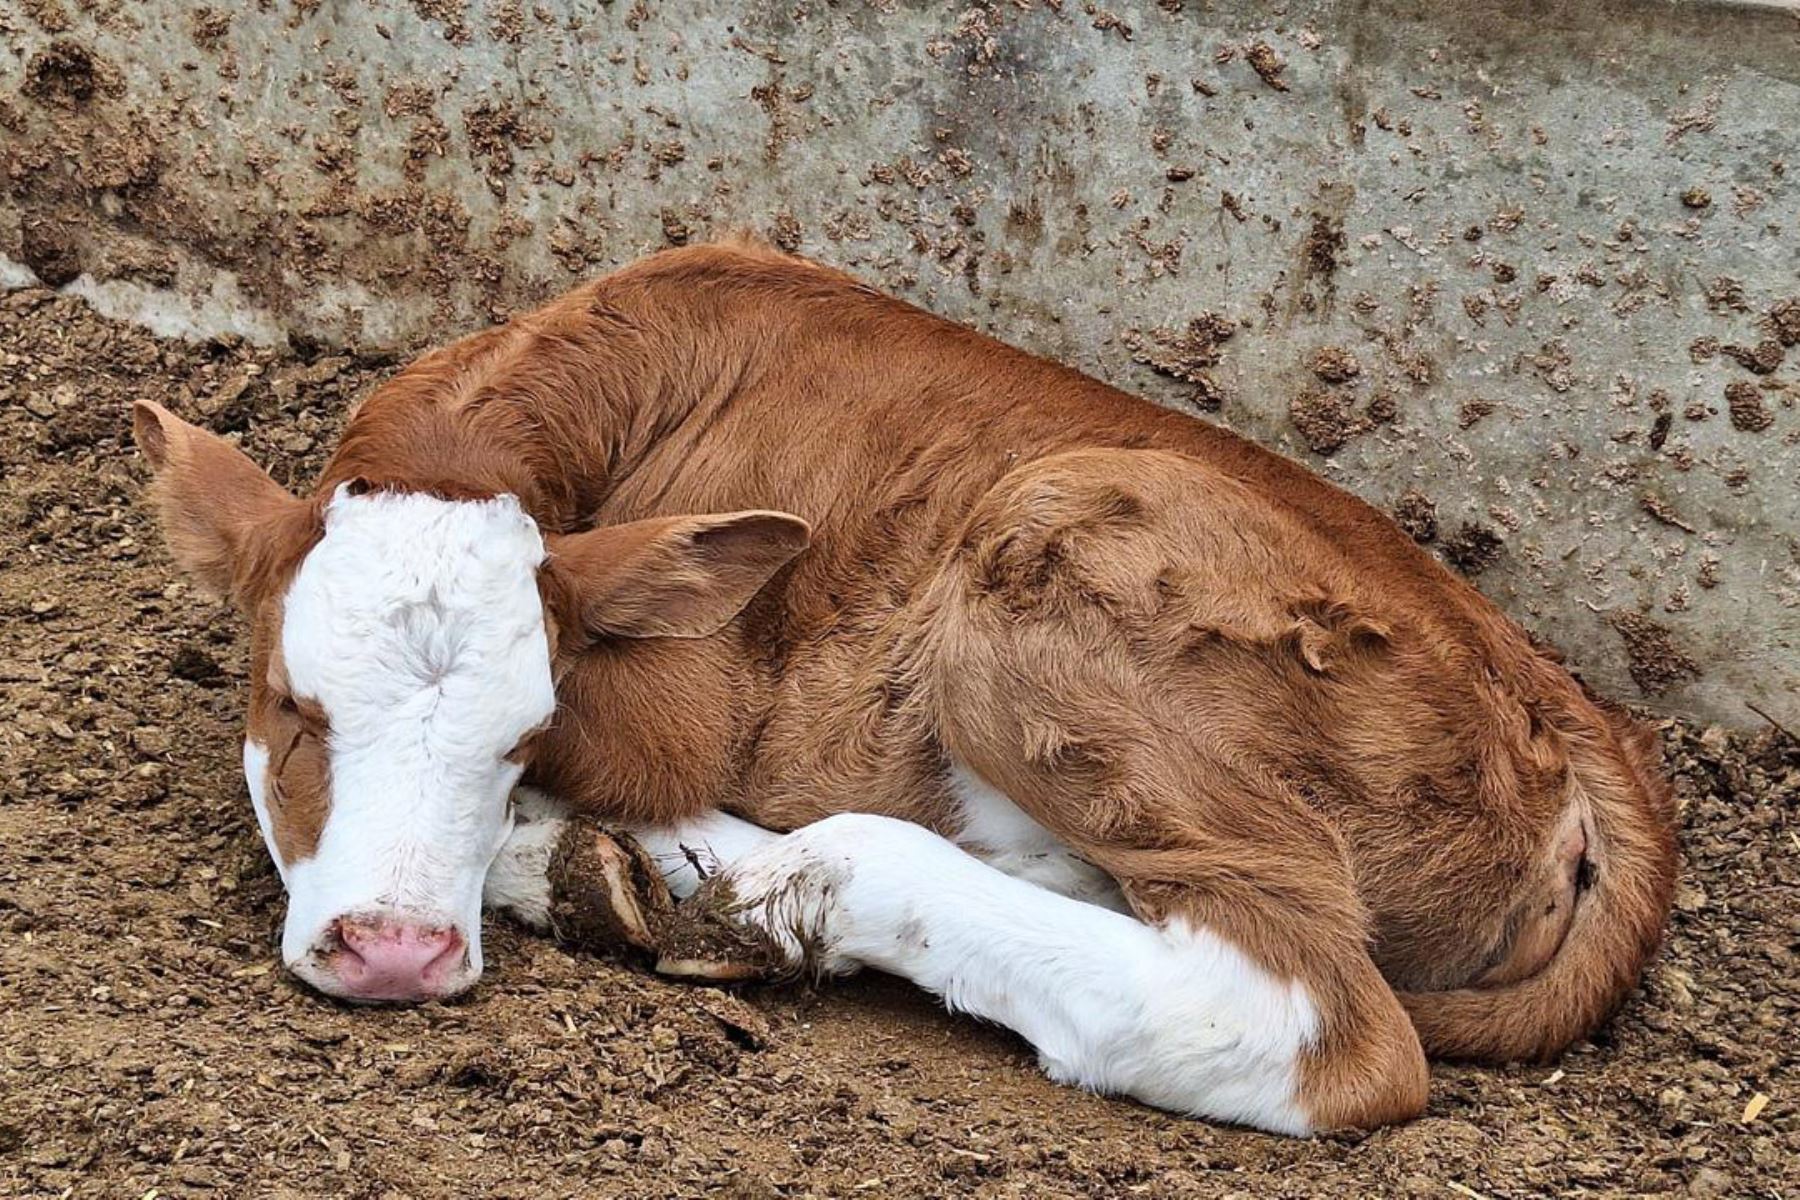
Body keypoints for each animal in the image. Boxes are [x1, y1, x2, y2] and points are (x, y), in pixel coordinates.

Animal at [133, 237, 1677, 1137]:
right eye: (290, 707)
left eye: (528, 728)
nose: (395, 952)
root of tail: (1576, 713)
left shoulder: (682, 707)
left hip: (1064, 550)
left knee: (1310, 1017)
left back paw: (734, 887)